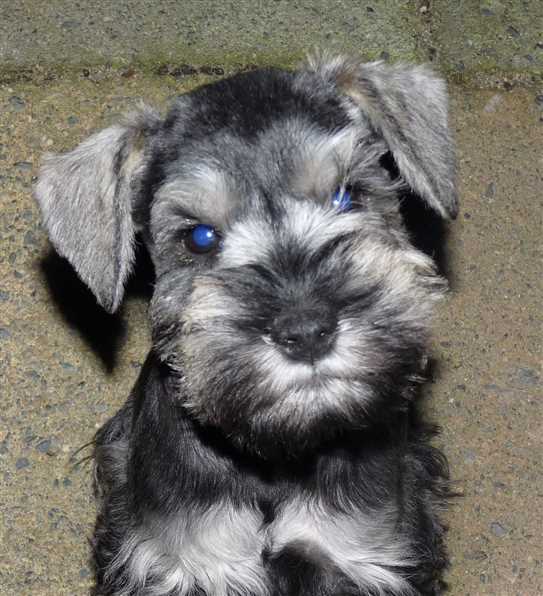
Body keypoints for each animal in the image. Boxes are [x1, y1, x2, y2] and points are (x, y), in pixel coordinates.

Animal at [36, 53, 456, 592]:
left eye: (347, 196)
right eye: (198, 237)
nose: (307, 331)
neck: (277, 455)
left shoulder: (363, 556)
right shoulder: (181, 563)